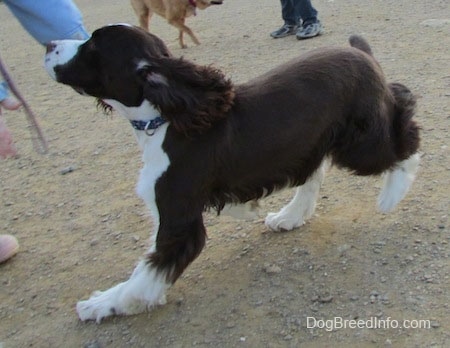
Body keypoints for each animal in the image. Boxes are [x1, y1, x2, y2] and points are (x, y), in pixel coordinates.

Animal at [44, 25, 420, 324]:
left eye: (92, 47)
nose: (48, 45)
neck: (165, 120)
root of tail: (360, 52)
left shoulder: (179, 222)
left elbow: (146, 274)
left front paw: (100, 304)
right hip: (315, 139)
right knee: (315, 171)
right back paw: (289, 216)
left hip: (361, 144)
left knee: (405, 121)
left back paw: (392, 194)